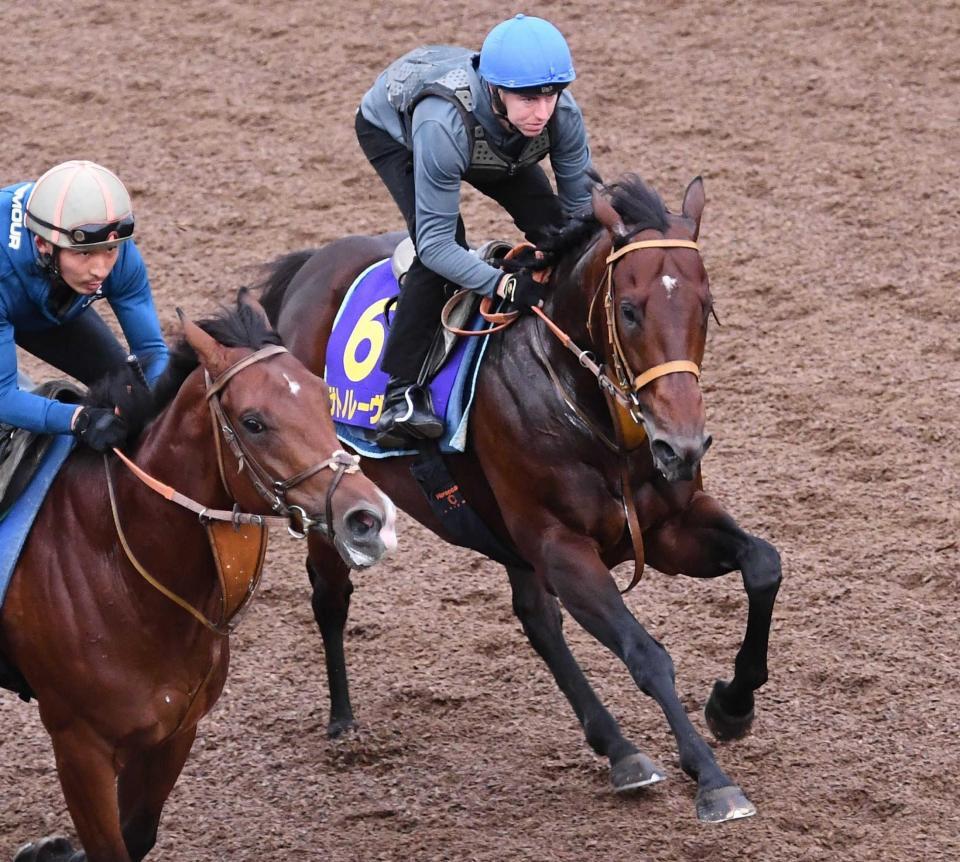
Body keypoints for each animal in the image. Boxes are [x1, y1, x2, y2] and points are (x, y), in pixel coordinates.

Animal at [0, 294, 398, 860]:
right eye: (253, 422)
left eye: (326, 398)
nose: (369, 520)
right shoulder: (79, 746)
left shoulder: (172, 731)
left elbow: (136, 834)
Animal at [258, 174, 784, 824]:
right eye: (629, 311)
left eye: (705, 309)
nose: (681, 445)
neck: (591, 412)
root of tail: (310, 267)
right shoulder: (561, 546)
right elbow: (646, 652)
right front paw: (712, 777)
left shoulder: (669, 527)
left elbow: (763, 564)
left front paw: (732, 706)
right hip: (327, 495)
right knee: (331, 597)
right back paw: (342, 723)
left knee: (538, 621)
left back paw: (619, 751)